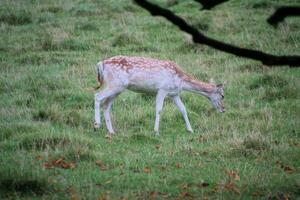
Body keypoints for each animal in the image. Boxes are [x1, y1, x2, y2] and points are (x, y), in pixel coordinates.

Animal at [95, 55, 224, 135]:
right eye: (223, 95)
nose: (223, 109)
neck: (181, 81)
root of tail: (100, 64)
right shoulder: (162, 89)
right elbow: (159, 109)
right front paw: (156, 131)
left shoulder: (174, 94)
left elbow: (183, 109)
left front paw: (190, 130)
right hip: (115, 84)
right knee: (97, 96)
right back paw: (97, 124)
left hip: (118, 88)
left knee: (106, 105)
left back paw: (111, 131)